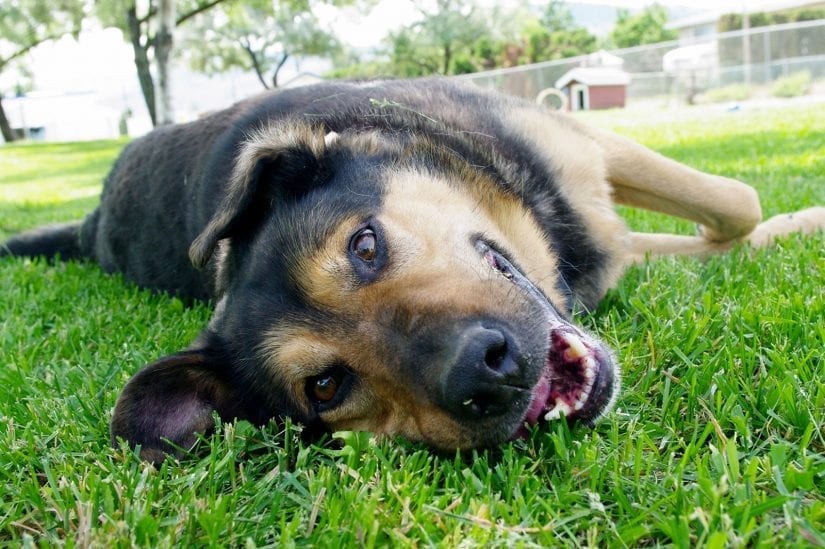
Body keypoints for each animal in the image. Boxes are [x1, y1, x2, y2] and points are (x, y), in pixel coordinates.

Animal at [3, 79, 820, 460]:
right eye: (325, 386)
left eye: (364, 246)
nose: (487, 372)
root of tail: (92, 222)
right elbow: (722, 220)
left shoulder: (581, 150)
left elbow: (737, 207)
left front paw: (792, 222)